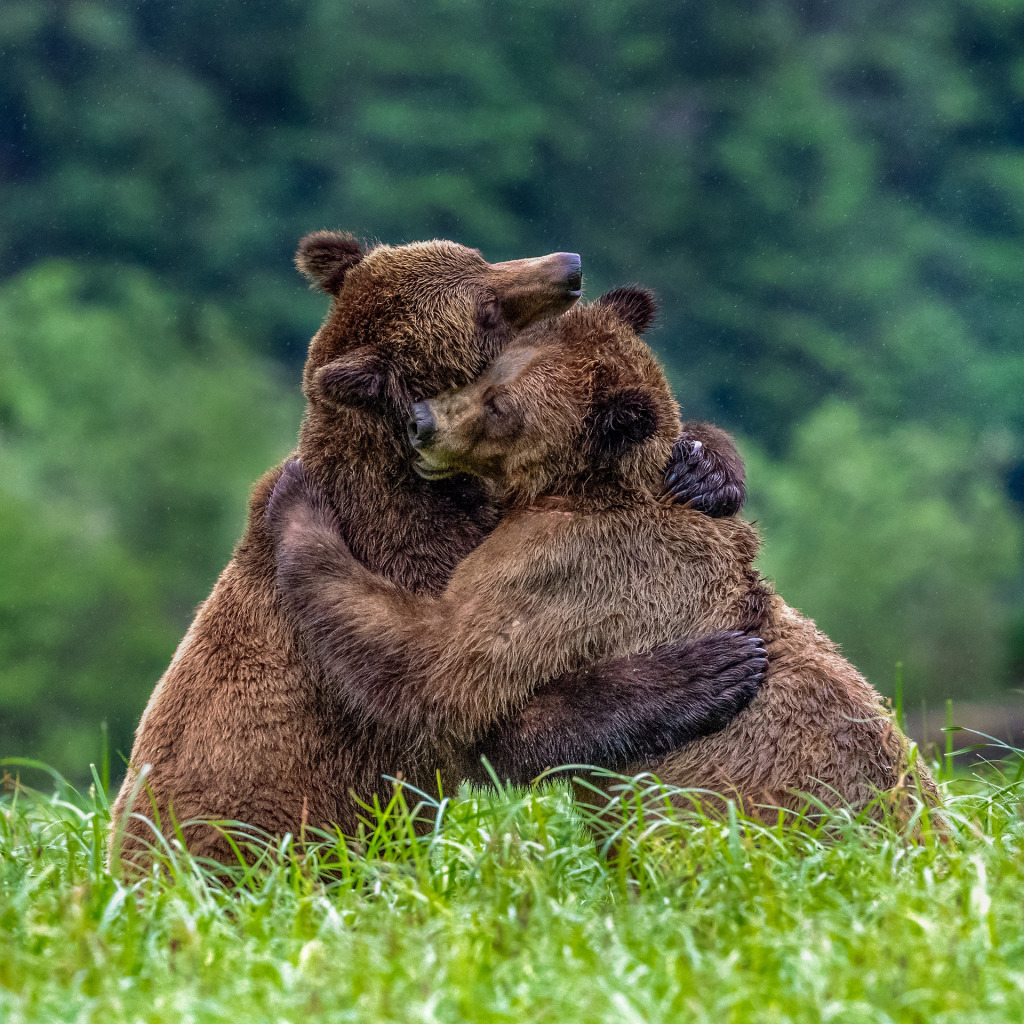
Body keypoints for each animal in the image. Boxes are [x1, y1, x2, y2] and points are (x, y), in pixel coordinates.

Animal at [266, 288, 942, 823]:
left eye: (501, 406)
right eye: (483, 371)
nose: (421, 423)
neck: (577, 487)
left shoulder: (565, 567)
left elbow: (441, 667)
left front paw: (297, 502)